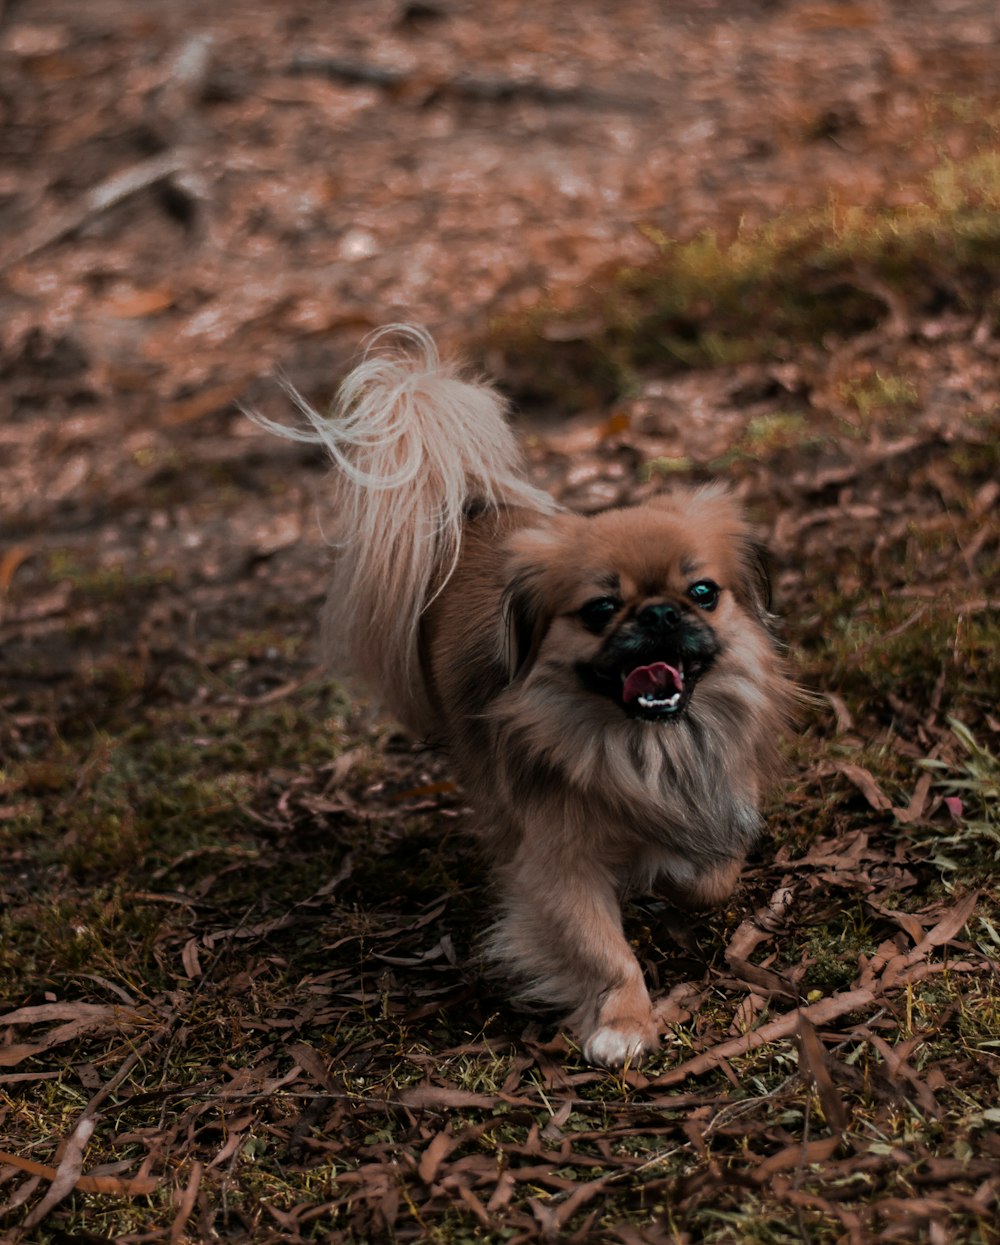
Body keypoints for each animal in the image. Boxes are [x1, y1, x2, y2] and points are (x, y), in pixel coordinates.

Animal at [252, 326, 797, 1065]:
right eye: (601, 609)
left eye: (704, 593)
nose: (659, 614)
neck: (647, 745)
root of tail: (468, 510)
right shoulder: (557, 860)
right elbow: (603, 950)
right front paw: (623, 1022)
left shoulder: (720, 800)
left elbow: (711, 876)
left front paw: (671, 877)